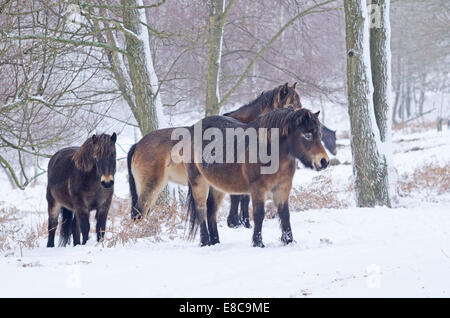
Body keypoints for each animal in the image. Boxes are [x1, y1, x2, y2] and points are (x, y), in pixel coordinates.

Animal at [128, 83, 300, 220]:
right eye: (291, 106)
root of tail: (138, 144)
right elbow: (240, 199)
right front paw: (237, 222)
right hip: (150, 187)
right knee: (139, 212)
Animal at [185, 108, 328, 247]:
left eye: (320, 135)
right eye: (308, 135)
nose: (324, 161)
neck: (270, 151)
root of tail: (193, 128)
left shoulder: (283, 187)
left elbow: (284, 214)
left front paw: (289, 241)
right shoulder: (258, 188)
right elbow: (259, 214)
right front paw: (258, 243)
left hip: (217, 185)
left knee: (211, 210)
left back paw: (215, 242)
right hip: (198, 182)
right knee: (201, 210)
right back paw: (205, 242)